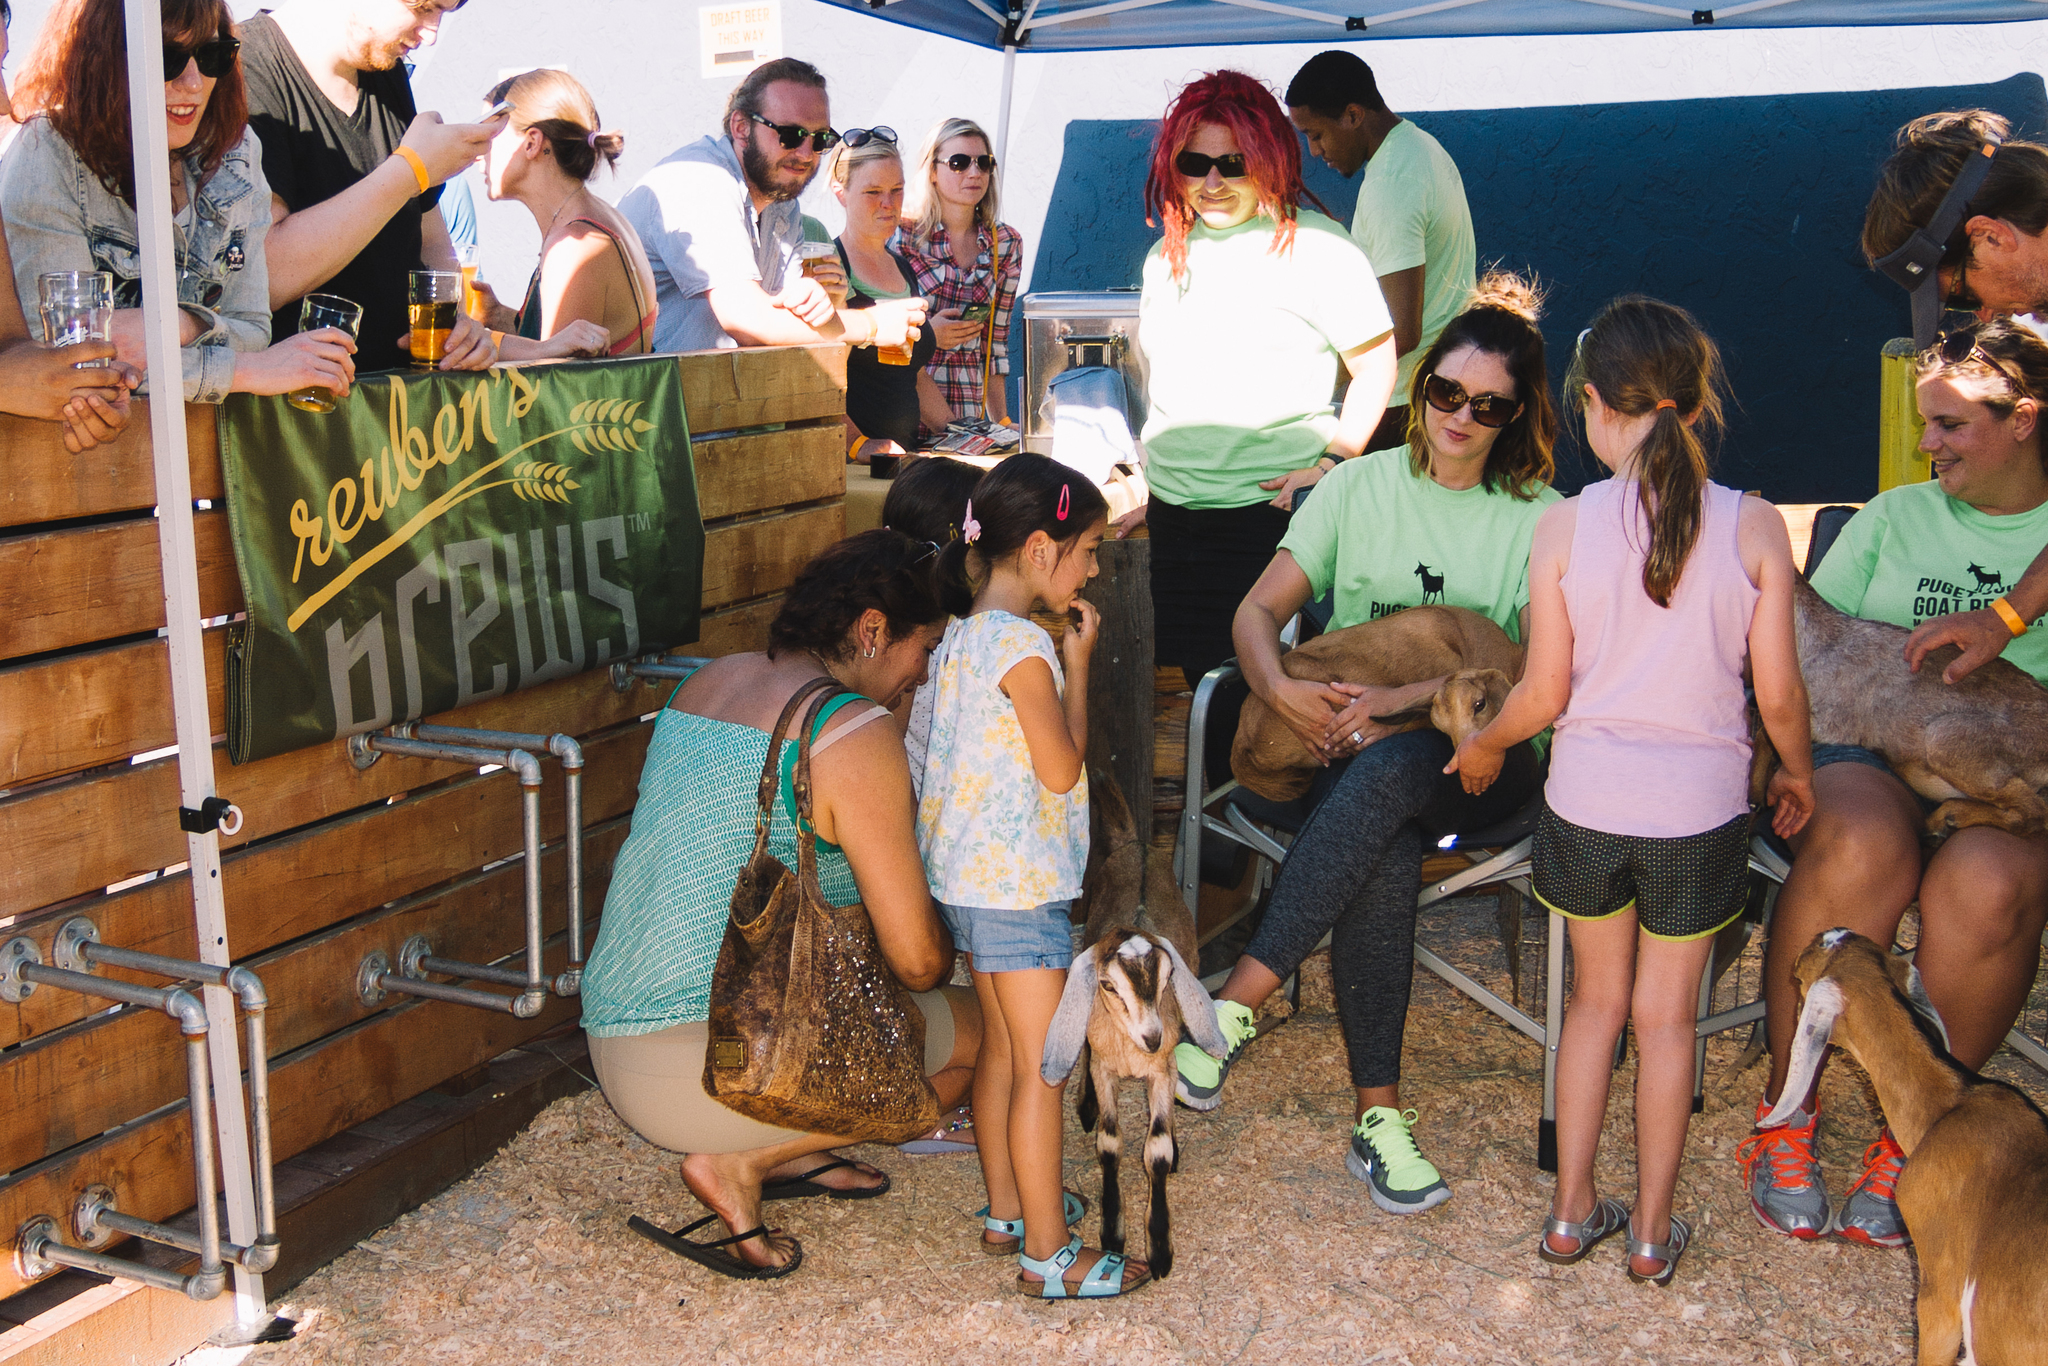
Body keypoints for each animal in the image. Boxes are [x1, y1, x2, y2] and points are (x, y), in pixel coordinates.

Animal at [1040, 770, 1228, 1286]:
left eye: (1168, 980)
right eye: (1107, 985)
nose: (1152, 1037)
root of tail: (1136, 843)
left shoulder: (1161, 1071)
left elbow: (1157, 1149)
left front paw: (1160, 1249)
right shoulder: (1106, 1067)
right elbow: (1109, 1144)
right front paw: (1113, 1234)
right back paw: (1083, 1104)